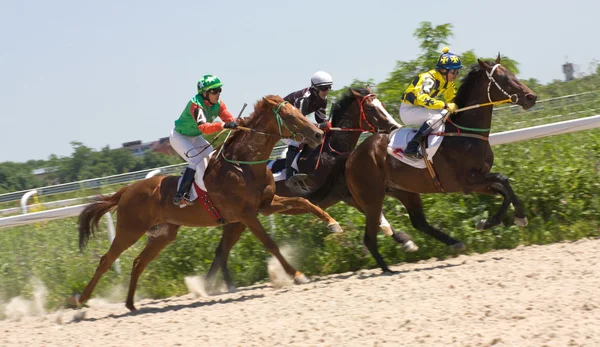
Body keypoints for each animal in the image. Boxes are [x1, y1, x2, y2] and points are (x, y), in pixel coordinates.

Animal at [74, 94, 342, 310]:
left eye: (299, 111)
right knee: (106, 260)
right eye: (289, 115)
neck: (243, 166)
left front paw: (333, 224)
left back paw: (130, 304)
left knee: (139, 262)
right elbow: (270, 244)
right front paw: (297, 274)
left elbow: (305, 202)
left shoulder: (266, 204)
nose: (318, 134)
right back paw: (79, 301)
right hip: (129, 230)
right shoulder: (246, 215)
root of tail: (127, 189)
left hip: (163, 234)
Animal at [205, 87, 418, 294]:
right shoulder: (347, 195)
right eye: (372, 108)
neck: (330, 153)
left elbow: (381, 210)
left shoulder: (351, 192)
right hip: (243, 216)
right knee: (223, 250)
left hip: (238, 220)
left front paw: (405, 241)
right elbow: (376, 214)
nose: (394, 127)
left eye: (382, 105)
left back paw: (213, 286)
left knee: (221, 250)